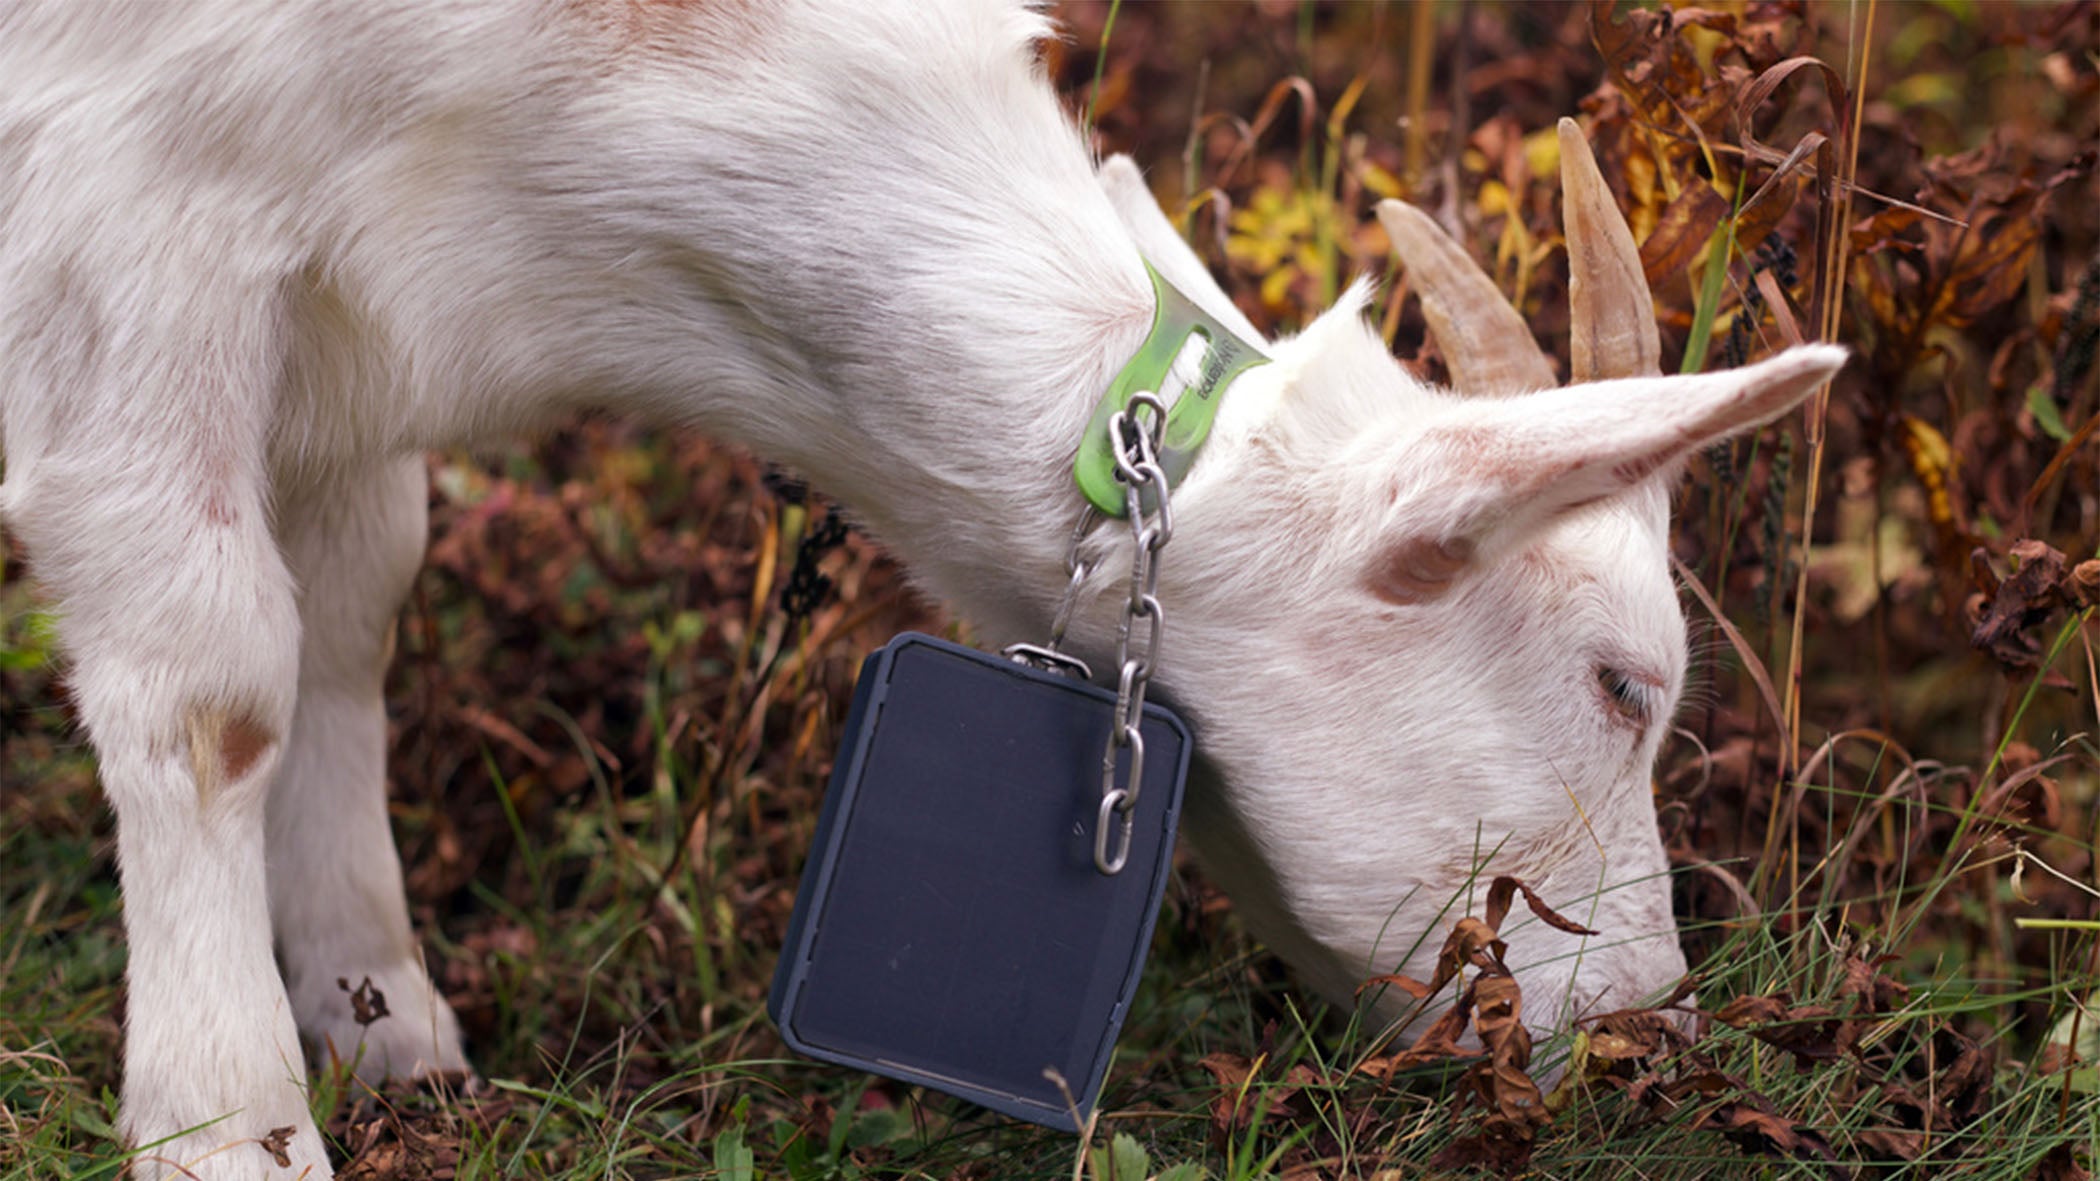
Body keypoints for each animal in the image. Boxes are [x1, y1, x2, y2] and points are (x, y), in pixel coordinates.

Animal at [0, 1, 1844, 1176]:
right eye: (1624, 680)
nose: (1656, 1042)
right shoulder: (135, 224)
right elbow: (215, 686)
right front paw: (229, 1127)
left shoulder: (355, 341)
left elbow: (352, 610)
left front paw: (384, 1021)